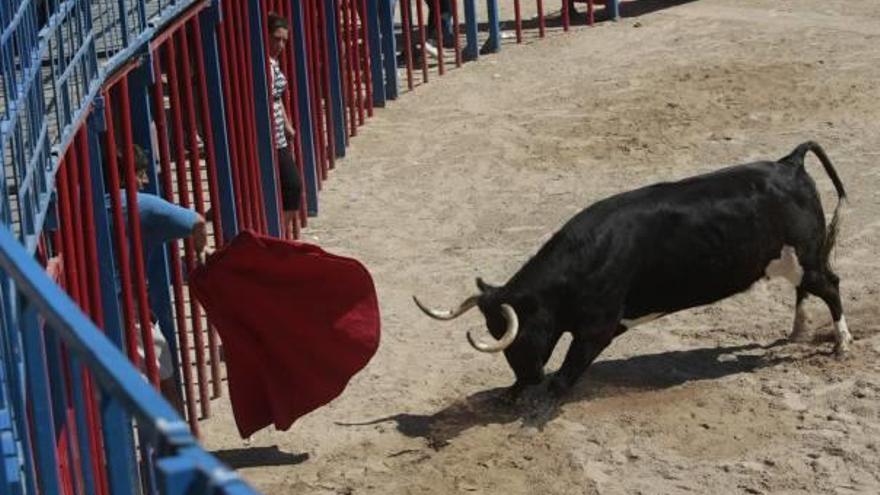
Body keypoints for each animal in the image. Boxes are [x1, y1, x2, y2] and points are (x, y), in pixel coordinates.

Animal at [416, 142, 848, 400]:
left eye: (518, 334)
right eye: (494, 333)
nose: (528, 378)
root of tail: (789, 163)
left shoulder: (597, 329)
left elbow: (567, 373)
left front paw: (543, 394)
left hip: (807, 258)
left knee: (830, 286)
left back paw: (841, 344)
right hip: (797, 260)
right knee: (807, 289)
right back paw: (796, 332)